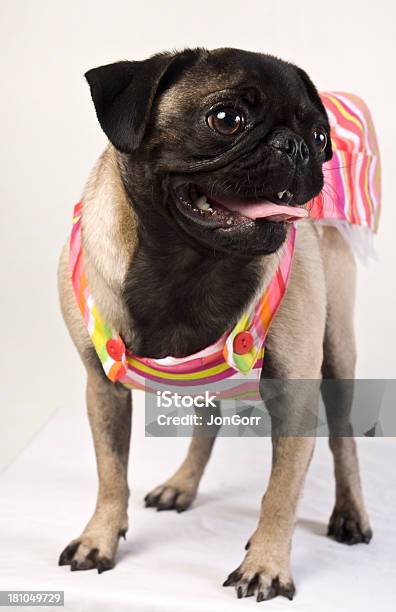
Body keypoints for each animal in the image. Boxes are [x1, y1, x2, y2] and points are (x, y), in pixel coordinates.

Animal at [57, 49, 372, 604]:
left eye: (320, 137)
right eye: (226, 119)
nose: (296, 147)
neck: (189, 263)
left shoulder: (296, 399)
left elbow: (280, 495)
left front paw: (265, 566)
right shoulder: (102, 389)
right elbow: (111, 475)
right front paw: (99, 539)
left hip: (337, 352)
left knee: (343, 441)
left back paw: (350, 514)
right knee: (207, 421)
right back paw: (182, 485)